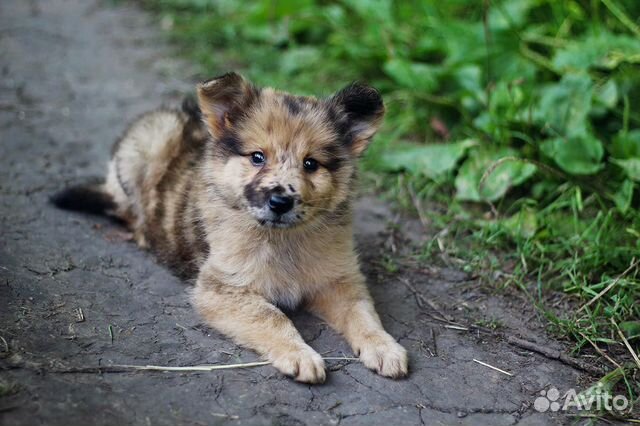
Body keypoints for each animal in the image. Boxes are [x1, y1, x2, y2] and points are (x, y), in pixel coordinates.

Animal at [52, 73, 408, 382]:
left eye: (311, 163)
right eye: (257, 157)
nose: (280, 202)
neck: (282, 239)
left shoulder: (338, 280)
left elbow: (363, 313)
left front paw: (384, 347)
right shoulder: (221, 288)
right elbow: (271, 316)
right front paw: (300, 355)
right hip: (147, 142)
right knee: (127, 207)